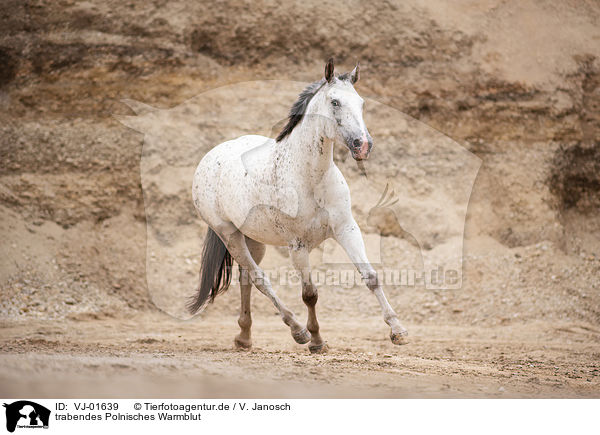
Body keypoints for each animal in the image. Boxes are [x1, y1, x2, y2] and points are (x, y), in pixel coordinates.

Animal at [190, 58, 410, 352]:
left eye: (361, 103)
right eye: (335, 102)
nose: (363, 145)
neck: (311, 179)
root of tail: (209, 158)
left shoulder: (346, 229)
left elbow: (371, 277)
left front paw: (398, 331)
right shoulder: (298, 246)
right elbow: (309, 294)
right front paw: (316, 340)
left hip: (254, 239)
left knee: (246, 279)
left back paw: (244, 337)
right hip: (230, 235)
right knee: (260, 279)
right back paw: (297, 331)